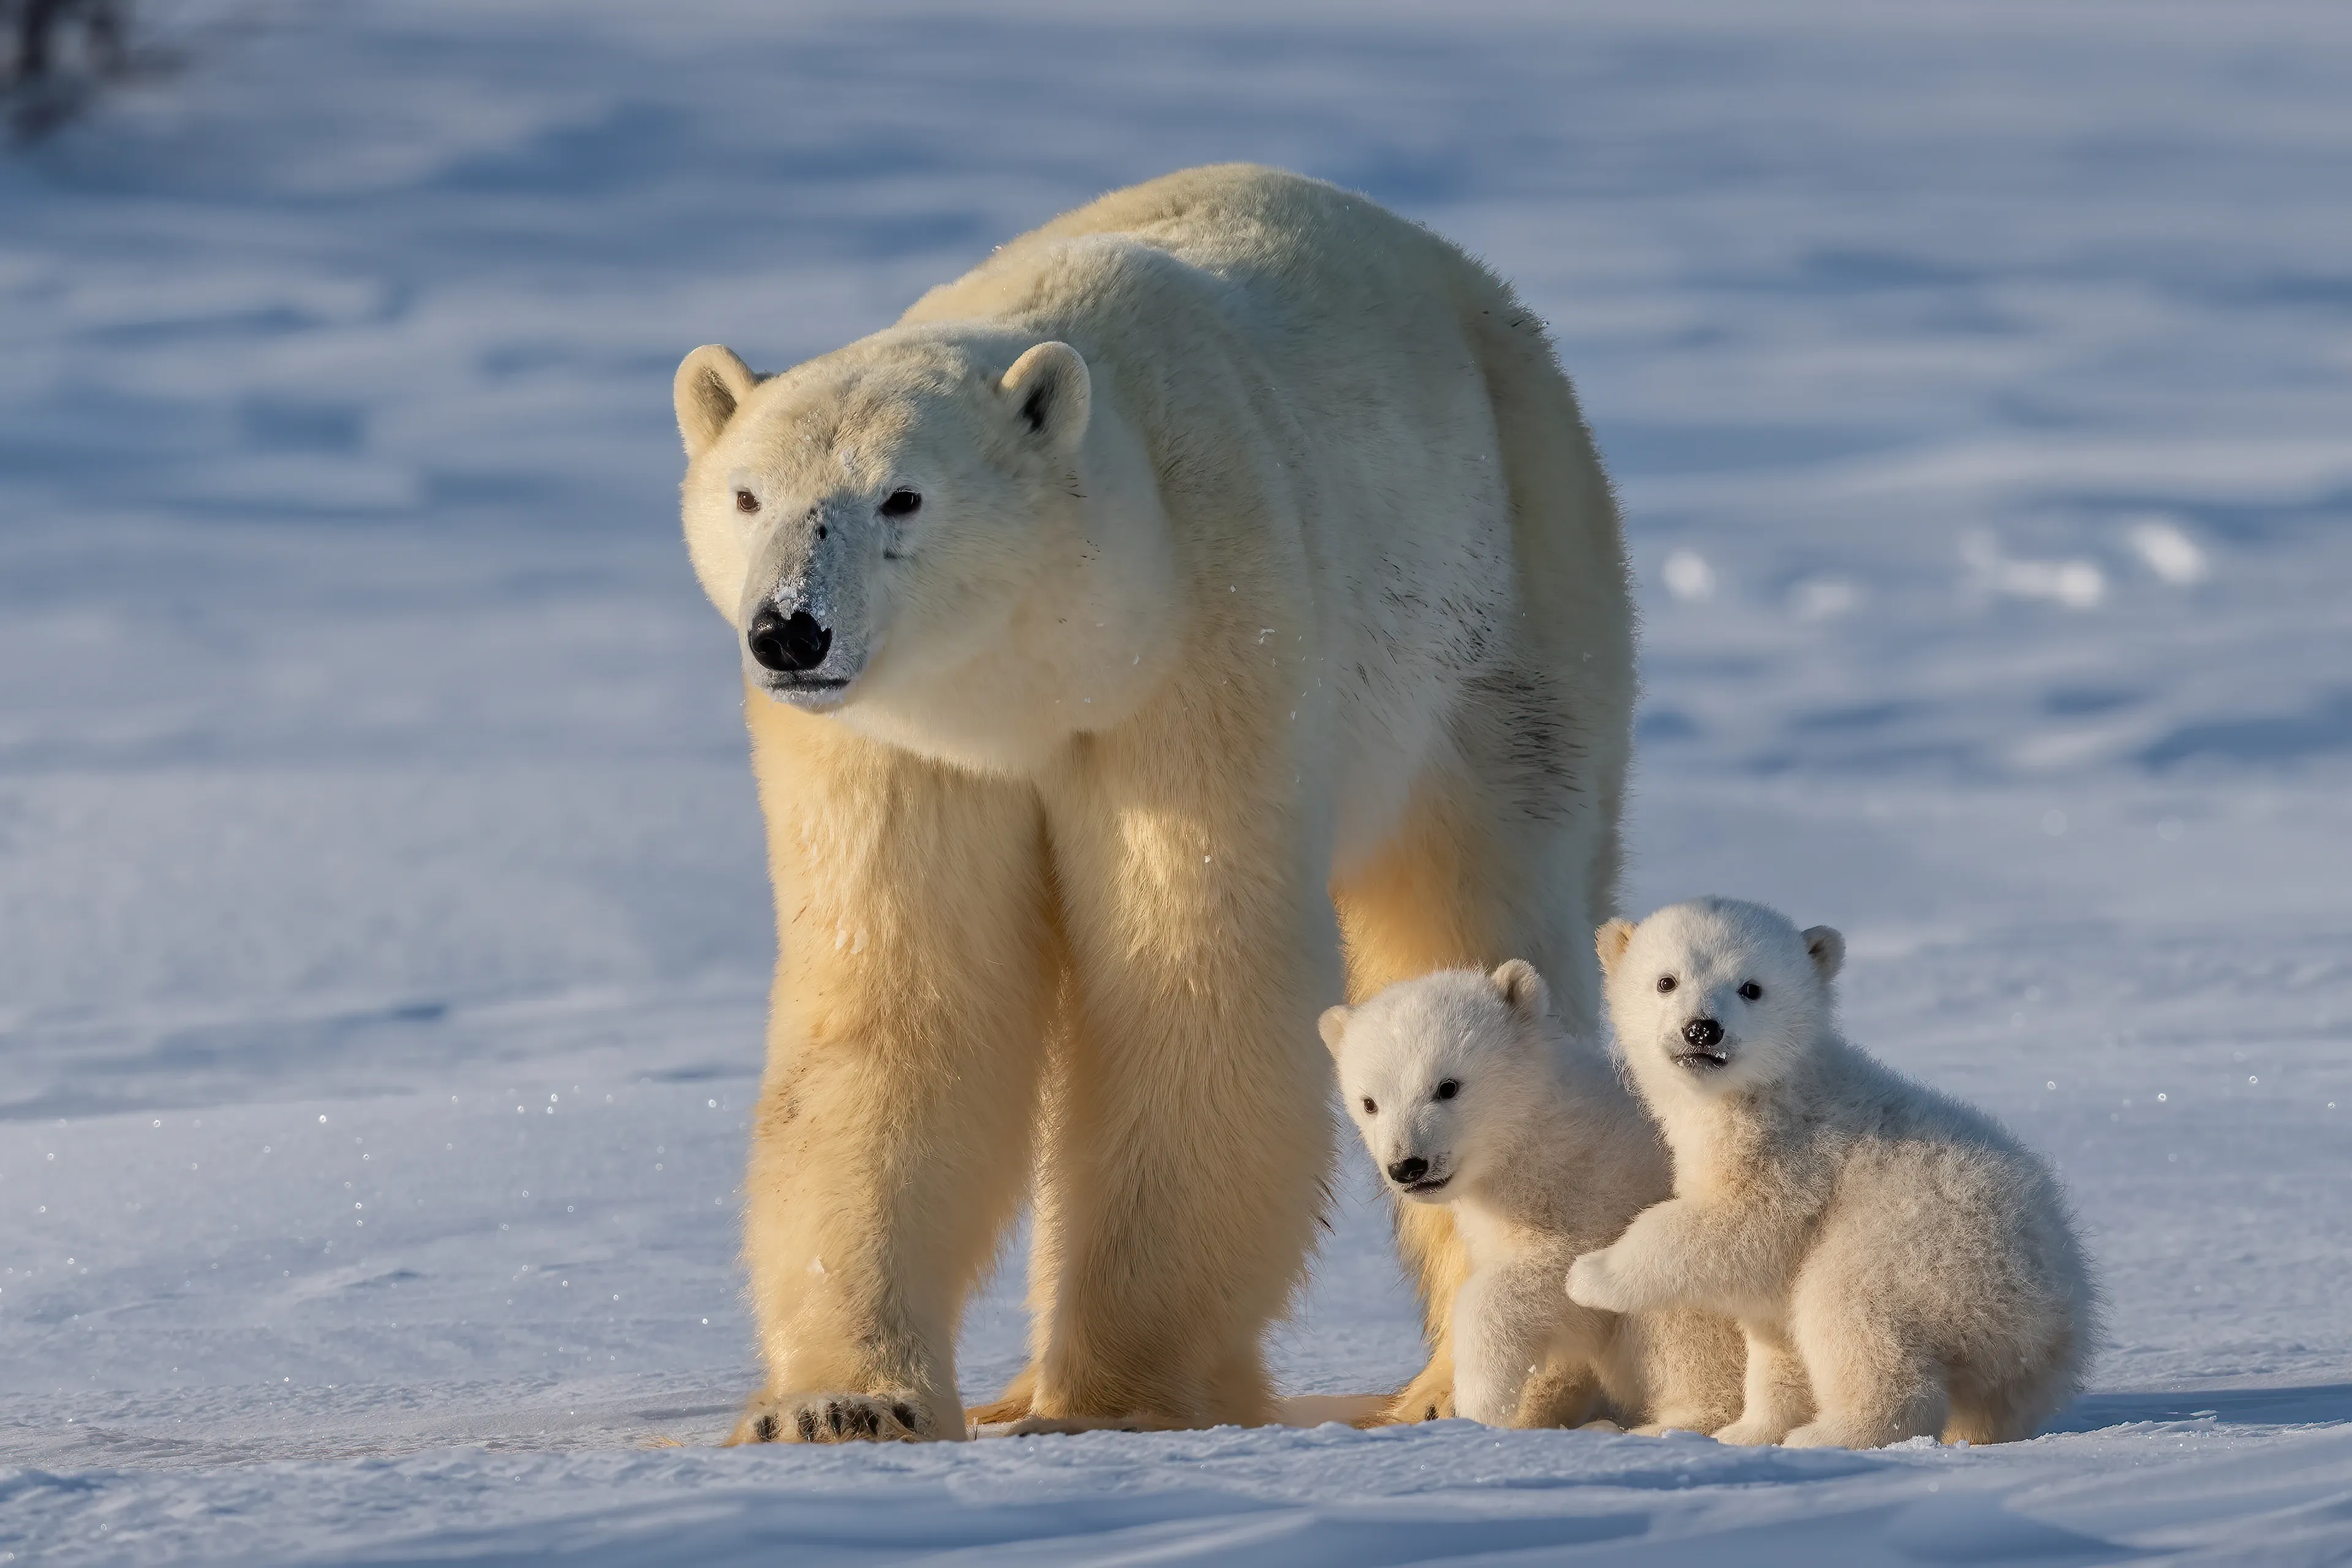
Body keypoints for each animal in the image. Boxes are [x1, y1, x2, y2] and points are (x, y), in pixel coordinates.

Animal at [670, 164, 1634, 1443]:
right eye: (746, 495)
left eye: (903, 497)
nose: (790, 629)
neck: (1047, 672)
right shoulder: (899, 748)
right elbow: (900, 1002)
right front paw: (841, 1404)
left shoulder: (1204, 647)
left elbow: (1192, 983)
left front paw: (1111, 1401)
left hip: (1509, 613)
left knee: (1476, 903)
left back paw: (1471, 1386)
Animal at [1320, 961, 1745, 1433]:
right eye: (1370, 1103)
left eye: (1448, 1086)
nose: (1408, 1166)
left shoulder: (1601, 1187)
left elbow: (1563, 1278)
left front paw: (1483, 1400)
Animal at [1568, 898, 2098, 1448]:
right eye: (1666, 981)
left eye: (1751, 987)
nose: (1702, 1029)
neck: (1769, 1091)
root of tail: (2056, 1311)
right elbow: (1773, 1336)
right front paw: (1747, 1432)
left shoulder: (1794, 1158)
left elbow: (1734, 1228)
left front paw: (1590, 1273)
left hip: (1920, 1249)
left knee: (1846, 1311)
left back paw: (1830, 1433)